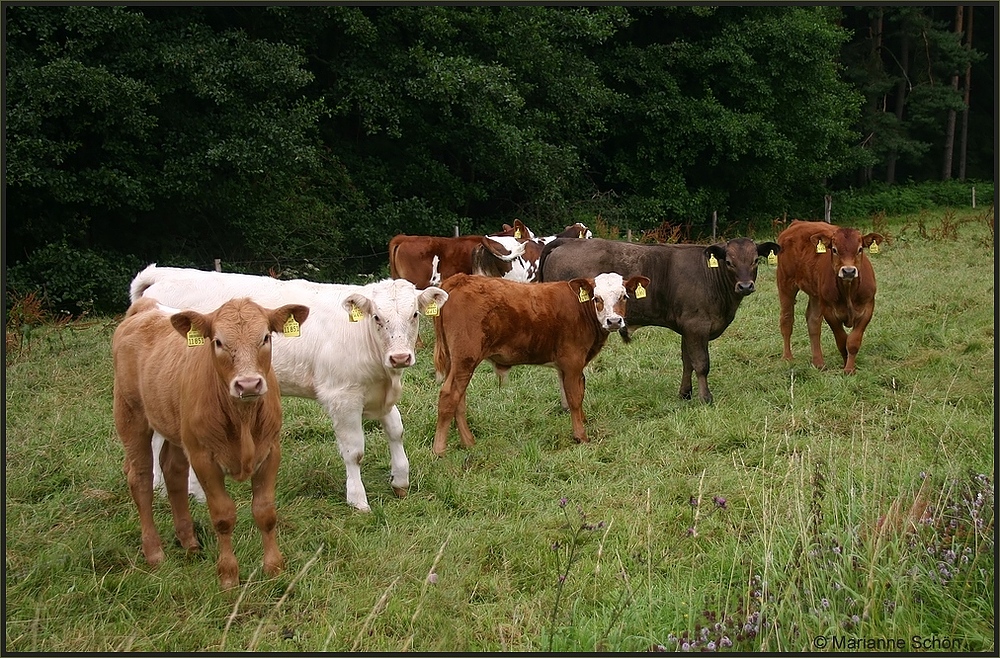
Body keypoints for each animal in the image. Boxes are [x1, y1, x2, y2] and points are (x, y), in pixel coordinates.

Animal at [111, 294, 310, 588]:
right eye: (217, 341)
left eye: (265, 337)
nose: (248, 384)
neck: (243, 419)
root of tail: (147, 309)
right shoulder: (204, 458)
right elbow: (223, 516)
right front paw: (228, 576)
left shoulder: (271, 451)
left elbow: (265, 512)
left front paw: (274, 568)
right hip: (130, 417)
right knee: (141, 478)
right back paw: (154, 552)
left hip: (177, 430)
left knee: (173, 471)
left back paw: (189, 542)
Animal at [128, 264, 446, 510]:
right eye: (377, 317)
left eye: (415, 315)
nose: (400, 357)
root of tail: (163, 275)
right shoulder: (342, 396)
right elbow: (354, 451)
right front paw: (357, 499)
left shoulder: (379, 393)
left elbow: (396, 430)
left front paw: (400, 479)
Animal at [430, 270, 648, 454]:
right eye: (597, 298)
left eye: (624, 296)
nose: (614, 321)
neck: (581, 309)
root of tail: (460, 279)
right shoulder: (572, 361)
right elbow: (574, 397)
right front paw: (580, 436)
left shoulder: (567, 366)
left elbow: (577, 392)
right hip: (465, 358)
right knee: (449, 396)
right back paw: (439, 450)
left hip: (456, 362)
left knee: (459, 399)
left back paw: (468, 443)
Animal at [540, 236, 780, 400]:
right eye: (729, 262)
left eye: (755, 260)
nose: (745, 286)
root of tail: (566, 241)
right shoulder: (697, 326)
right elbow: (701, 363)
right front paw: (706, 398)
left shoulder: (687, 328)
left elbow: (687, 362)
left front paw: (685, 393)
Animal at [772, 219, 884, 372]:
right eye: (835, 250)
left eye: (860, 249)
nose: (848, 271)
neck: (848, 291)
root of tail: (798, 223)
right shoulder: (830, 312)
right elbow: (842, 340)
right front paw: (846, 365)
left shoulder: (867, 309)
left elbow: (853, 341)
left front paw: (849, 368)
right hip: (785, 283)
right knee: (787, 320)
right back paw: (787, 357)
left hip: (815, 295)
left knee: (813, 322)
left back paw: (818, 362)